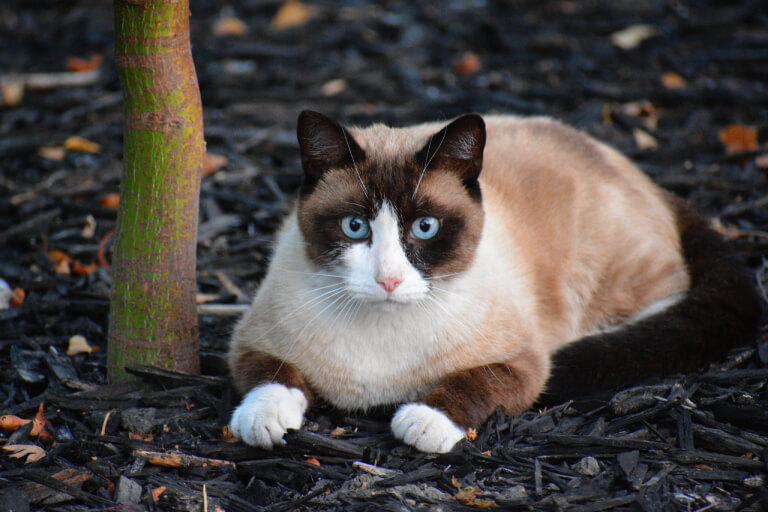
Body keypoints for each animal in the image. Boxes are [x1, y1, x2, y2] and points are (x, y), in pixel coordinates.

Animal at [228, 111, 760, 452]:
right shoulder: (250, 340)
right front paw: (263, 421)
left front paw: (423, 421)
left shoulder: (521, 364)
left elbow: (474, 383)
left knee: (664, 306)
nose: (389, 279)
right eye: (355, 227)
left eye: (426, 227)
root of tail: (646, 177)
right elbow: (271, 376)